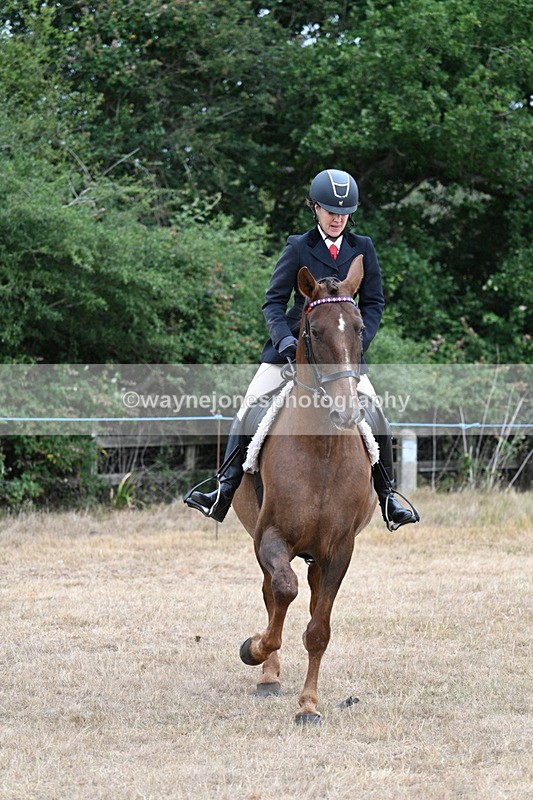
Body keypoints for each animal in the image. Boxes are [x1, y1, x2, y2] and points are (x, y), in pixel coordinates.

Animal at [232, 255, 377, 724]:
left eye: (359, 327)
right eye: (313, 331)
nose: (346, 412)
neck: (322, 451)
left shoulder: (339, 549)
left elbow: (318, 629)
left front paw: (309, 706)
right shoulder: (270, 537)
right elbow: (282, 591)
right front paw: (255, 650)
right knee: (273, 592)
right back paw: (267, 675)